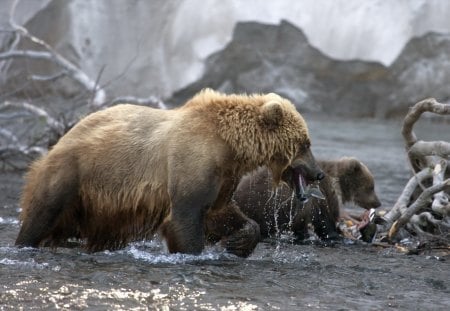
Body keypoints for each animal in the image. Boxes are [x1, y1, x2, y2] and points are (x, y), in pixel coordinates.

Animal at [14, 89, 324, 258]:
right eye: (306, 143)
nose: (319, 173)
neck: (231, 147)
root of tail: (61, 139)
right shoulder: (192, 159)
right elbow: (186, 215)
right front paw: (193, 251)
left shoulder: (223, 175)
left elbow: (220, 211)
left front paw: (238, 241)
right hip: (73, 174)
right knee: (43, 213)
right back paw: (25, 243)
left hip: (102, 206)